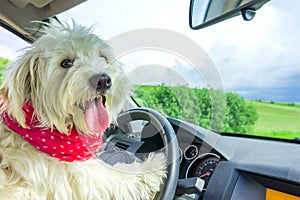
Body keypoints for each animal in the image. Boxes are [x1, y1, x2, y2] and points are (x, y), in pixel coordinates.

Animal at [0, 22, 166, 200]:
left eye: (103, 58)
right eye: (66, 63)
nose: (103, 80)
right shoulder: (84, 179)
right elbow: (120, 177)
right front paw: (153, 166)